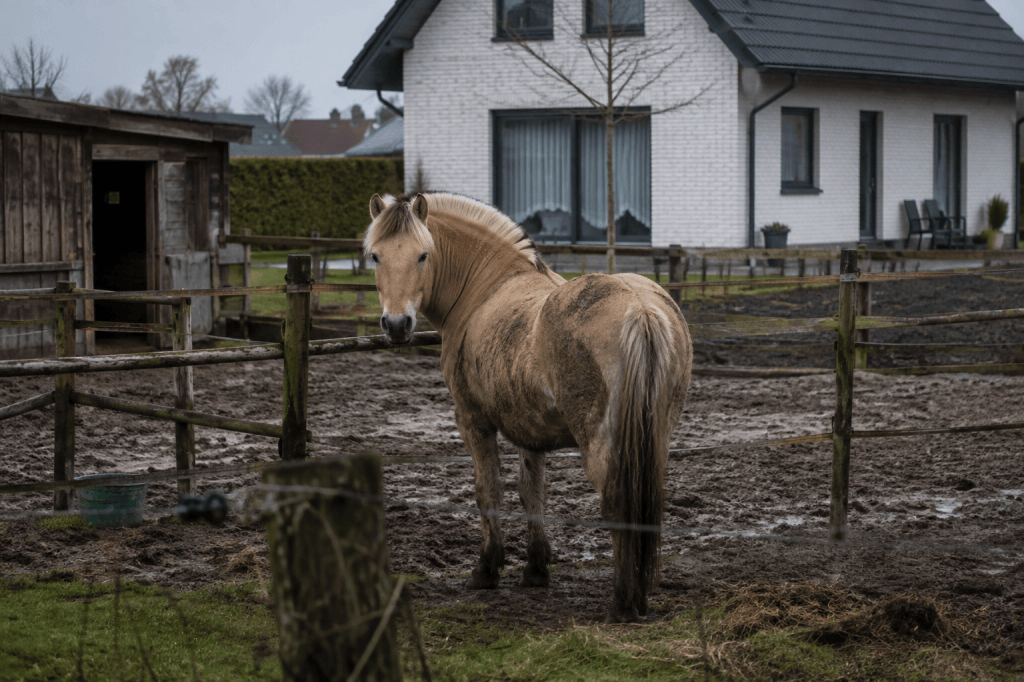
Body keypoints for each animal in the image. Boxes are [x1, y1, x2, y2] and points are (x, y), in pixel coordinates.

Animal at [365, 191, 692, 623]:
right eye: (375, 256)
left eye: (423, 255)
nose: (397, 325)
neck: (486, 287)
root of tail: (640, 308)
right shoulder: (529, 427)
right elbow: (530, 492)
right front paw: (536, 569)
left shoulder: (473, 420)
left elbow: (488, 491)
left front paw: (487, 569)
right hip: (655, 438)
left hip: (600, 442)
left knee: (618, 504)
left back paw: (624, 603)